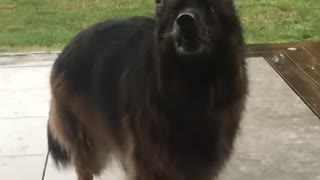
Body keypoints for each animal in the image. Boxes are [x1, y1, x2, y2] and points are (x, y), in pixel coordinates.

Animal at [47, 0, 248, 180]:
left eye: (210, 8)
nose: (184, 21)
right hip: (91, 147)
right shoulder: (151, 162)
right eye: (174, 11)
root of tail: (66, 49)